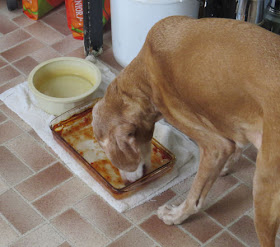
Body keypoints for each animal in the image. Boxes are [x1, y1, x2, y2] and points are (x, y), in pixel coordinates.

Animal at [92, 16, 280, 246]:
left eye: (112, 157)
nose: (127, 183)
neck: (144, 77)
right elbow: (237, 145)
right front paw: (228, 165)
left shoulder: (215, 145)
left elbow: (196, 195)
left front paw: (177, 215)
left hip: (264, 185)